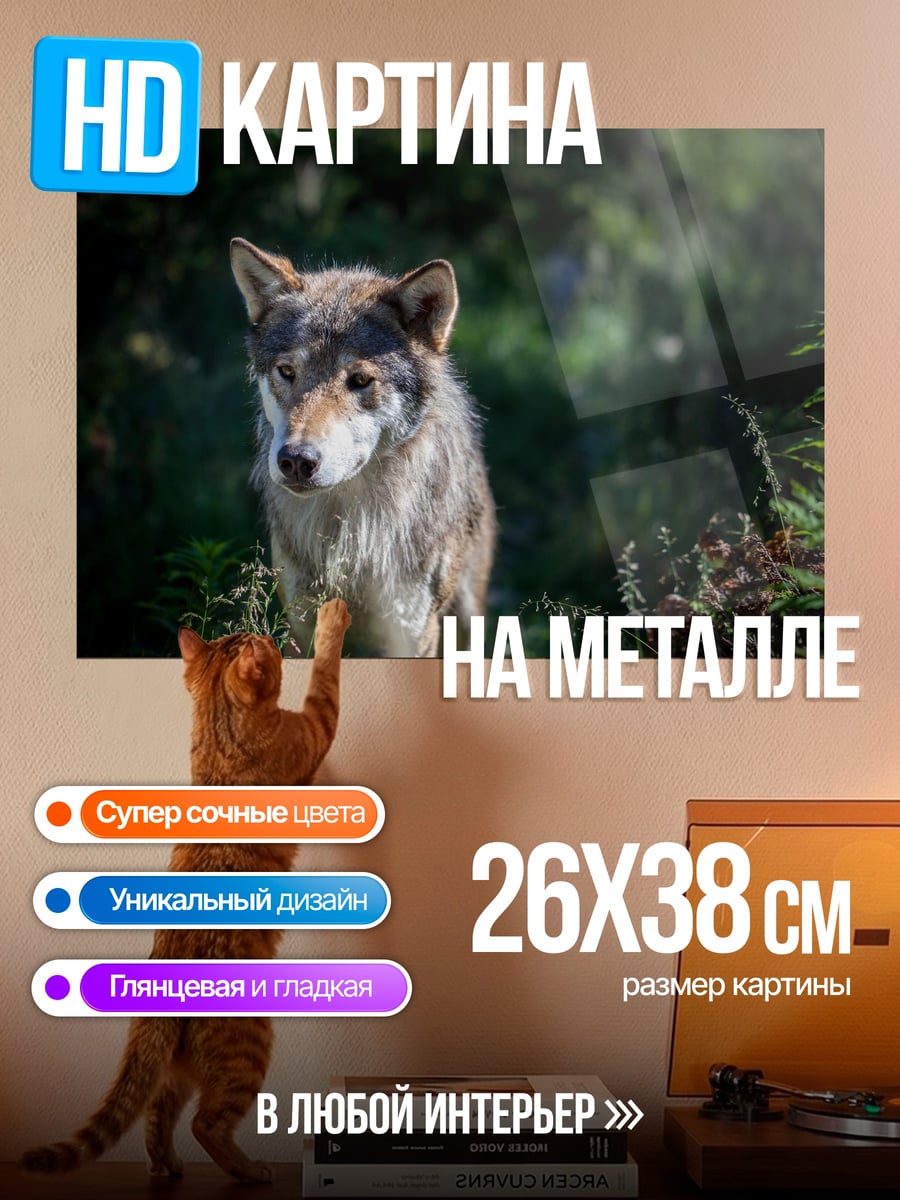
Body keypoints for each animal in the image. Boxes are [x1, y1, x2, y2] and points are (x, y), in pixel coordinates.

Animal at [230, 238, 496, 657]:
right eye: (287, 372)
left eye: (359, 380)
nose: (296, 460)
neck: (350, 532)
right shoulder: (300, 624)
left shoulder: (411, 633)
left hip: (466, 617)